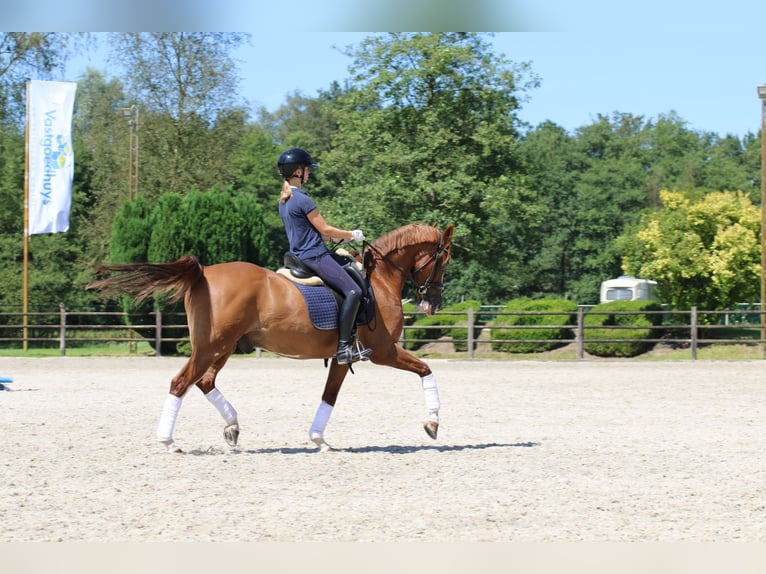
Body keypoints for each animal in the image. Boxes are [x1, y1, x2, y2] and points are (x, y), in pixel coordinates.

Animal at [87, 225, 452, 454]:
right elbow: (426, 369)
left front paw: (319, 440)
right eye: (444, 258)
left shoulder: (342, 356)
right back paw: (169, 441)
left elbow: (329, 396)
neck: (379, 281)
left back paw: (232, 426)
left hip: (223, 347)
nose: (432, 303)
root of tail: (204, 272)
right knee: (181, 383)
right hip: (211, 347)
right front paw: (433, 423)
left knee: (204, 382)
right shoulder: (385, 351)